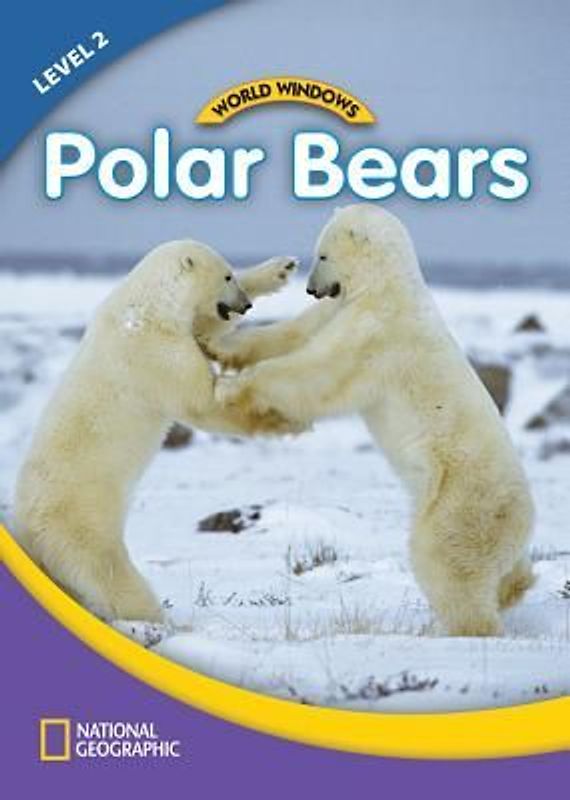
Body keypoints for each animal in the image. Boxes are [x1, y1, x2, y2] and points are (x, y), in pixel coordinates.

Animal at [13, 240, 298, 623]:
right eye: (226, 276)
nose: (245, 304)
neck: (146, 305)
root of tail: (24, 531)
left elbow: (206, 327)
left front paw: (279, 269)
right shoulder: (154, 350)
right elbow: (200, 401)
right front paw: (275, 420)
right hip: (79, 525)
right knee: (110, 575)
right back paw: (156, 619)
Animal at [214, 205, 535, 637]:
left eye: (322, 255)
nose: (311, 289)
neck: (388, 287)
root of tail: (523, 519)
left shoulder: (376, 334)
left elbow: (318, 372)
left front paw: (231, 388)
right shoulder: (342, 308)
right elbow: (292, 334)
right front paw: (219, 347)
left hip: (462, 503)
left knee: (446, 562)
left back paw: (456, 630)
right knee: (505, 572)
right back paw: (514, 587)